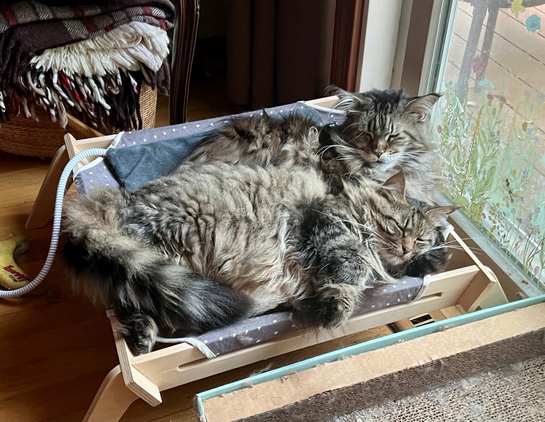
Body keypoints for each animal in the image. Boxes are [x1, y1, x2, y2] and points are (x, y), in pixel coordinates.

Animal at [62, 164, 454, 352]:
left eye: (419, 237)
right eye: (398, 225)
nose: (407, 247)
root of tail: (119, 201)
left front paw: (435, 257)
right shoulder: (324, 222)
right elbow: (350, 266)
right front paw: (335, 309)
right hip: (167, 251)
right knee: (129, 294)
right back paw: (145, 334)